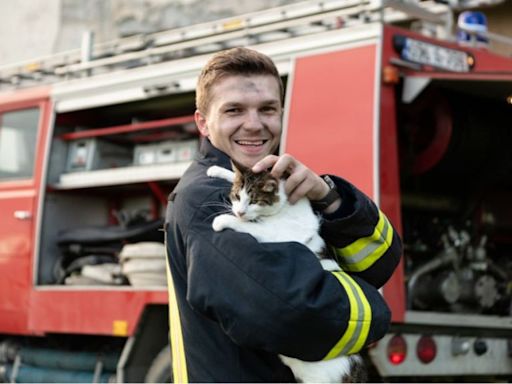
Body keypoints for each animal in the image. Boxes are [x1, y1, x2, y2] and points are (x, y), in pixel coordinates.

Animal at [206, 164, 366, 384]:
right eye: (237, 196)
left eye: (254, 200)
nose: (239, 212)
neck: (283, 203)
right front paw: (218, 171)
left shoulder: (280, 233)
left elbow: (249, 226)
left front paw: (223, 220)